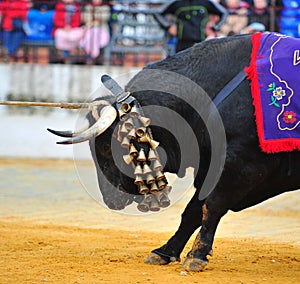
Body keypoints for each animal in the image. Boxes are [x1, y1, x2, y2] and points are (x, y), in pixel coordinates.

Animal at [48, 34, 298, 272]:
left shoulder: (239, 166)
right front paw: (165, 251)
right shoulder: (210, 169)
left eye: (107, 148)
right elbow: (193, 210)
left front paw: (197, 255)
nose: (110, 200)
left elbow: (212, 206)